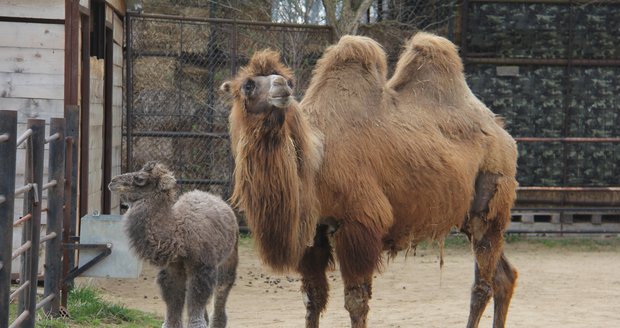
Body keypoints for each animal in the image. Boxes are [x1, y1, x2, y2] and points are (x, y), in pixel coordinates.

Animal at [109, 162, 240, 328]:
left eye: (140, 179)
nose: (112, 181)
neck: (179, 236)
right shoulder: (172, 268)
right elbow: (173, 300)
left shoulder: (202, 266)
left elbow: (197, 297)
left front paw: (198, 324)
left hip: (229, 256)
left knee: (222, 287)